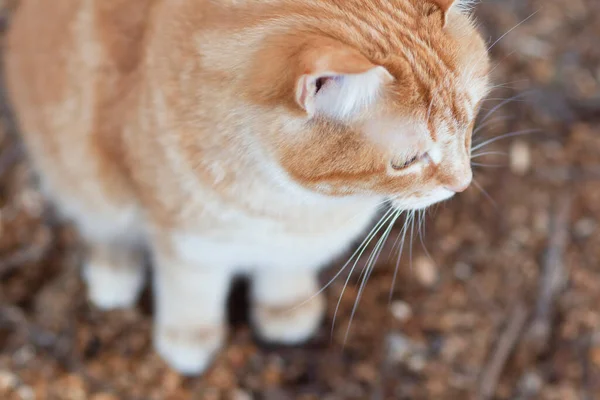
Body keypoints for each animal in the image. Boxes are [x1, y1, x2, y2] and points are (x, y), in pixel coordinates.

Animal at [4, 0, 490, 376]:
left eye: (468, 122)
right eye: (408, 161)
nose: (462, 183)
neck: (295, 204)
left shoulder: (300, 242)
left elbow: (286, 270)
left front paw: (285, 307)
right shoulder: (186, 239)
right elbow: (191, 288)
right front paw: (189, 336)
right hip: (78, 170)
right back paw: (113, 269)